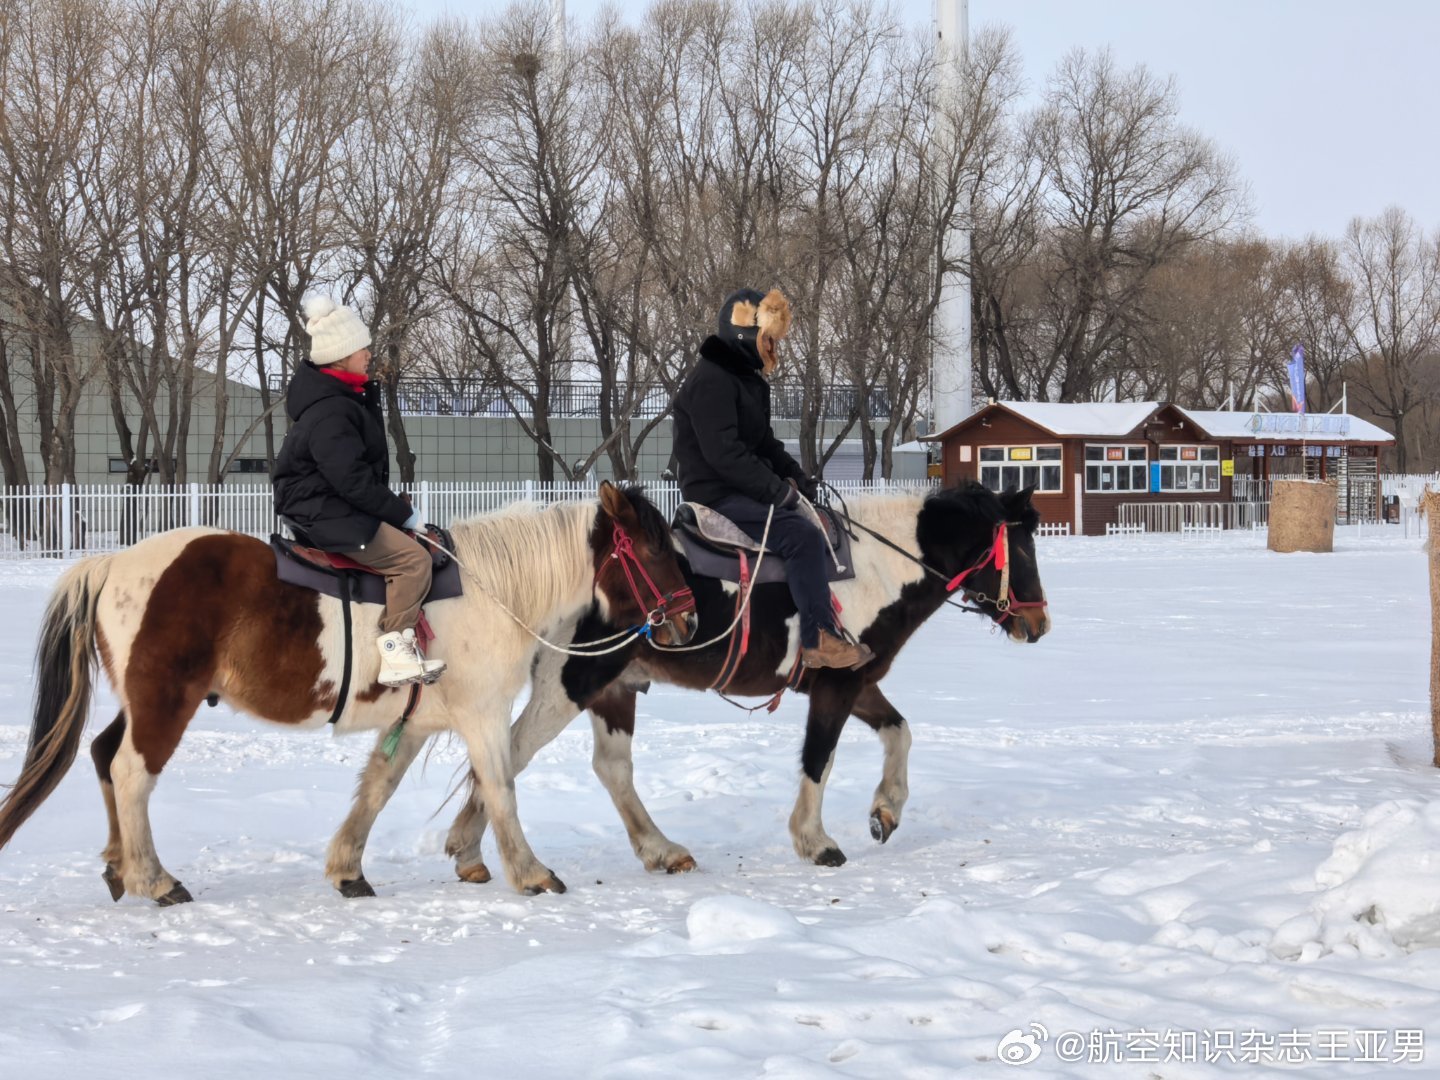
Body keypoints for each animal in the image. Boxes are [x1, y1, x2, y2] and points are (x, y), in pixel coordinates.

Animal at [0, 483, 696, 904]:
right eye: (653, 547)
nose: (688, 621)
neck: (491, 588)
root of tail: (111, 563)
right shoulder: (483, 716)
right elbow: (499, 787)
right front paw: (530, 872)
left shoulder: (416, 722)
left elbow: (377, 788)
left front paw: (347, 868)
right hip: (165, 702)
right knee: (129, 772)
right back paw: (153, 877)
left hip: (142, 702)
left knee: (103, 757)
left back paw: (119, 866)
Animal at [331, 486, 1054, 881]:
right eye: (1022, 548)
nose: (1039, 623)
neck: (874, 567)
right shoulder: (834, 685)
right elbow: (819, 758)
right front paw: (816, 840)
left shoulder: (858, 679)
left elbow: (900, 731)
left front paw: (886, 810)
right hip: (573, 683)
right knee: (511, 752)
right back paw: (473, 845)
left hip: (613, 689)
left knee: (604, 768)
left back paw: (651, 849)